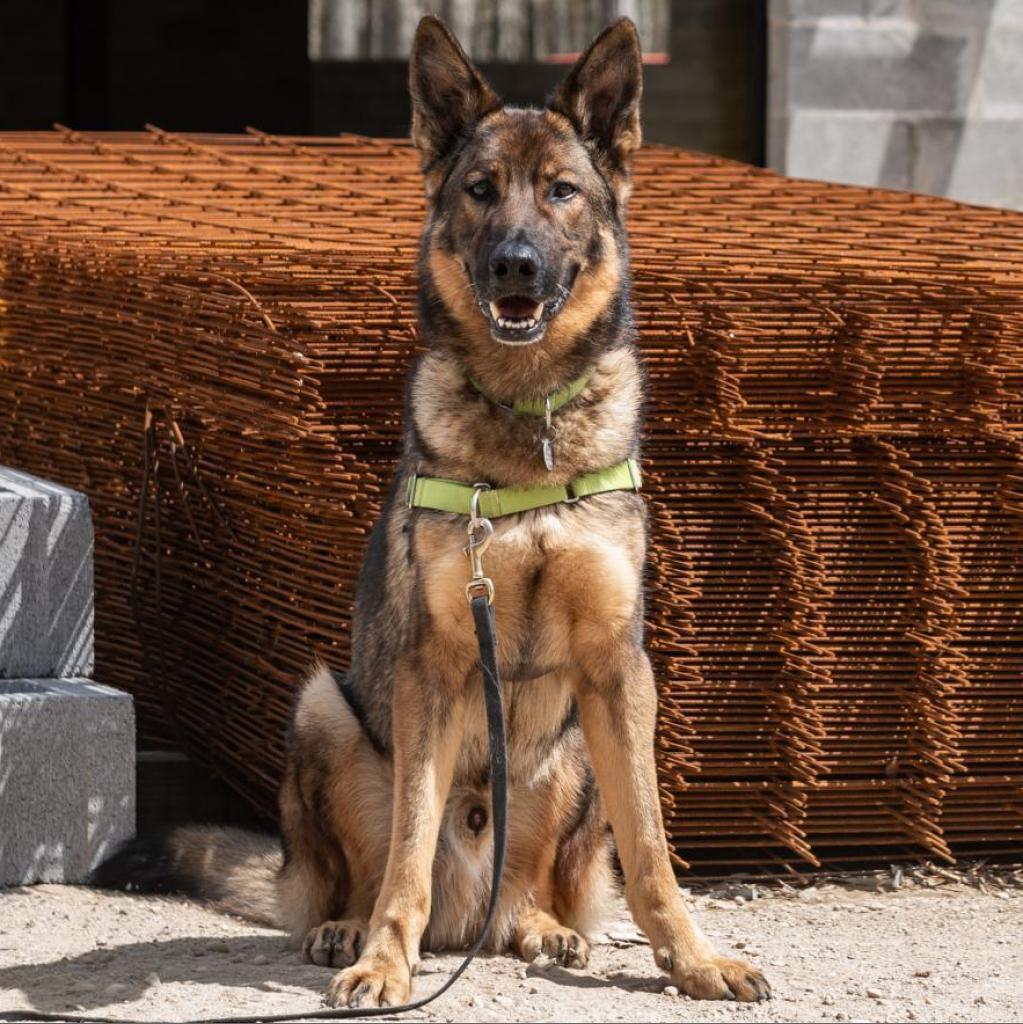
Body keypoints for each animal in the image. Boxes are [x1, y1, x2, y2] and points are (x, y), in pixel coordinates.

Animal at [97, 14, 770, 1007]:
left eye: (562, 191)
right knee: (361, 875)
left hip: (574, 750)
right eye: (481, 191)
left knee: (532, 893)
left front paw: (693, 959)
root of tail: (470, 916)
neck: (528, 425)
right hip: (322, 709)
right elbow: (407, 853)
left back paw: (539, 927)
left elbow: (650, 851)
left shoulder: (618, 670)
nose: (513, 264)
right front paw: (384, 959)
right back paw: (345, 929)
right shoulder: (434, 667)